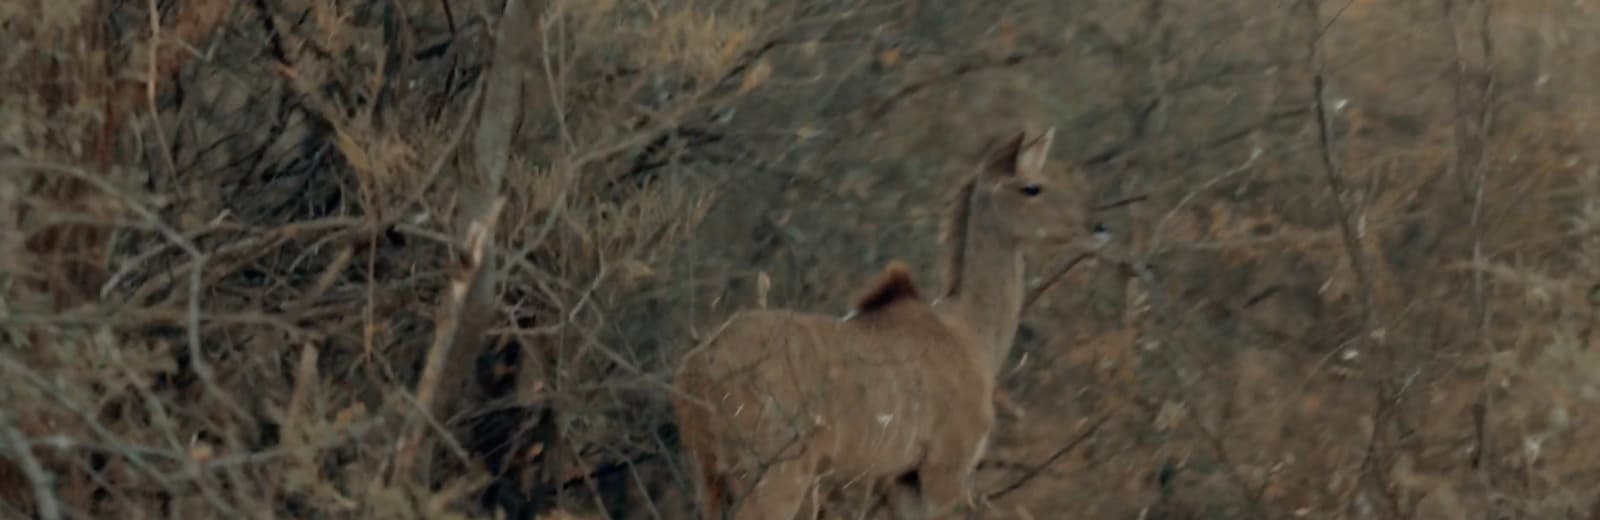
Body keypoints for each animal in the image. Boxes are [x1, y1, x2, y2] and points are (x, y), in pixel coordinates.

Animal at [671, 126, 1104, 519]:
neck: (969, 333)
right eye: (1032, 187)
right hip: (775, 475)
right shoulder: (944, 470)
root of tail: (698, 369)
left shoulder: (902, 479)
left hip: (709, 476)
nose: (1098, 228)